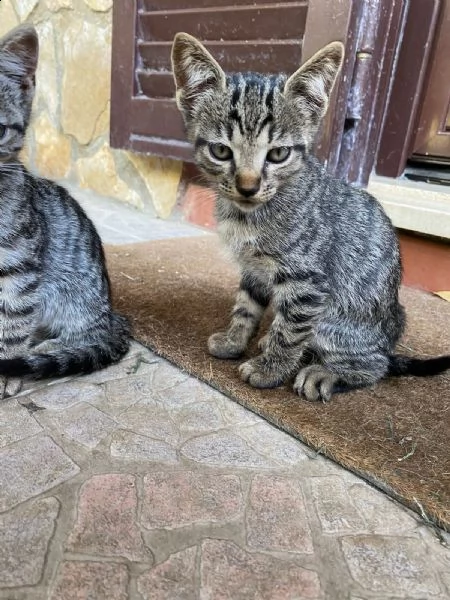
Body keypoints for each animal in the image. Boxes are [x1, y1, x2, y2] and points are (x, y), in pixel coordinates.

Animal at [0, 25, 130, 396]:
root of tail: (111, 312)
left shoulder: (19, 266)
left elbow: (11, 321)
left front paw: (5, 368)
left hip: (73, 293)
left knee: (87, 335)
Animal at [171, 30, 448, 400]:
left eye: (278, 154)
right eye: (220, 151)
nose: (248, 186)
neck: (249, 215)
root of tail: (389, 337)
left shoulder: (307, 281)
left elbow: (291, 330)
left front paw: (270, 369)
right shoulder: (254, 269)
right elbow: (245, 307)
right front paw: (234, 340)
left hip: (338, 324)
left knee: (374, 365)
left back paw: (324, 373)